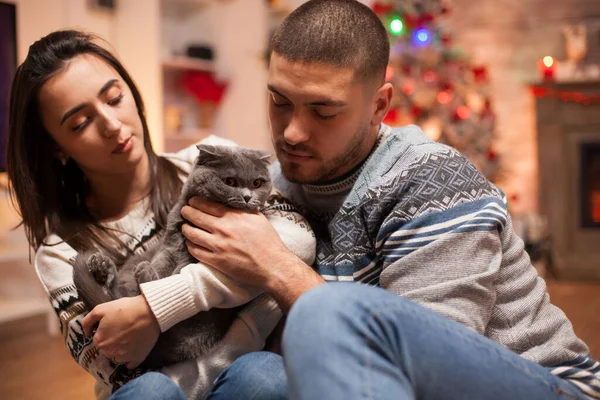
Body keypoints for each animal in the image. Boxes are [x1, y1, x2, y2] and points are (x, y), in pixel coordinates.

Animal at [72, 143, 272, 368]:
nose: (247, 197)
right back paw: (102, 266)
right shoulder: (170, 244)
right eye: (230, 181)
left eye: (257, 183)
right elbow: (163, 263)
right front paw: (153, 274)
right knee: (116, 295)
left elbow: (181, 271)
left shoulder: (196, 256)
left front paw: (153, 279)